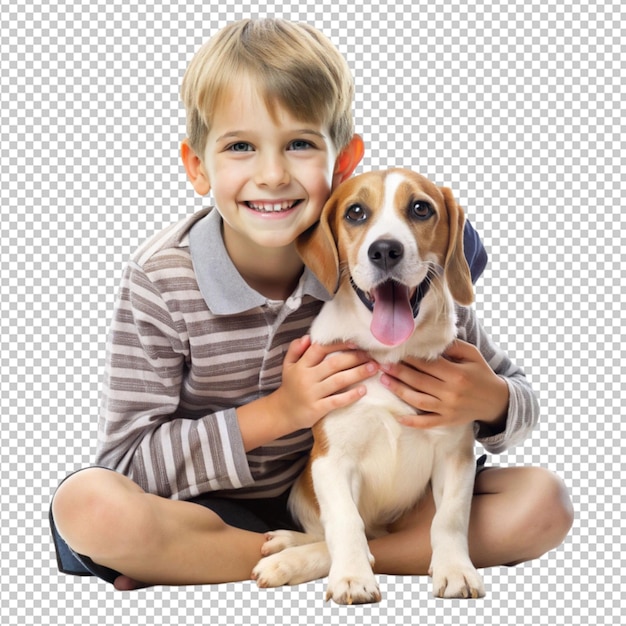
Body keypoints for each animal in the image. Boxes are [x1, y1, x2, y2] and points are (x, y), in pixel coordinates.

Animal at [251, 168, 486, 604]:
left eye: (421, 208)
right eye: (356, 212)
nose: (386, 251)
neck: (388, 355)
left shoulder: (456, 455)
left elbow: (449, 519)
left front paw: (455, 570)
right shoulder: (331, 460)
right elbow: (345, 522)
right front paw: (351, 577)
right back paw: (288, 551)